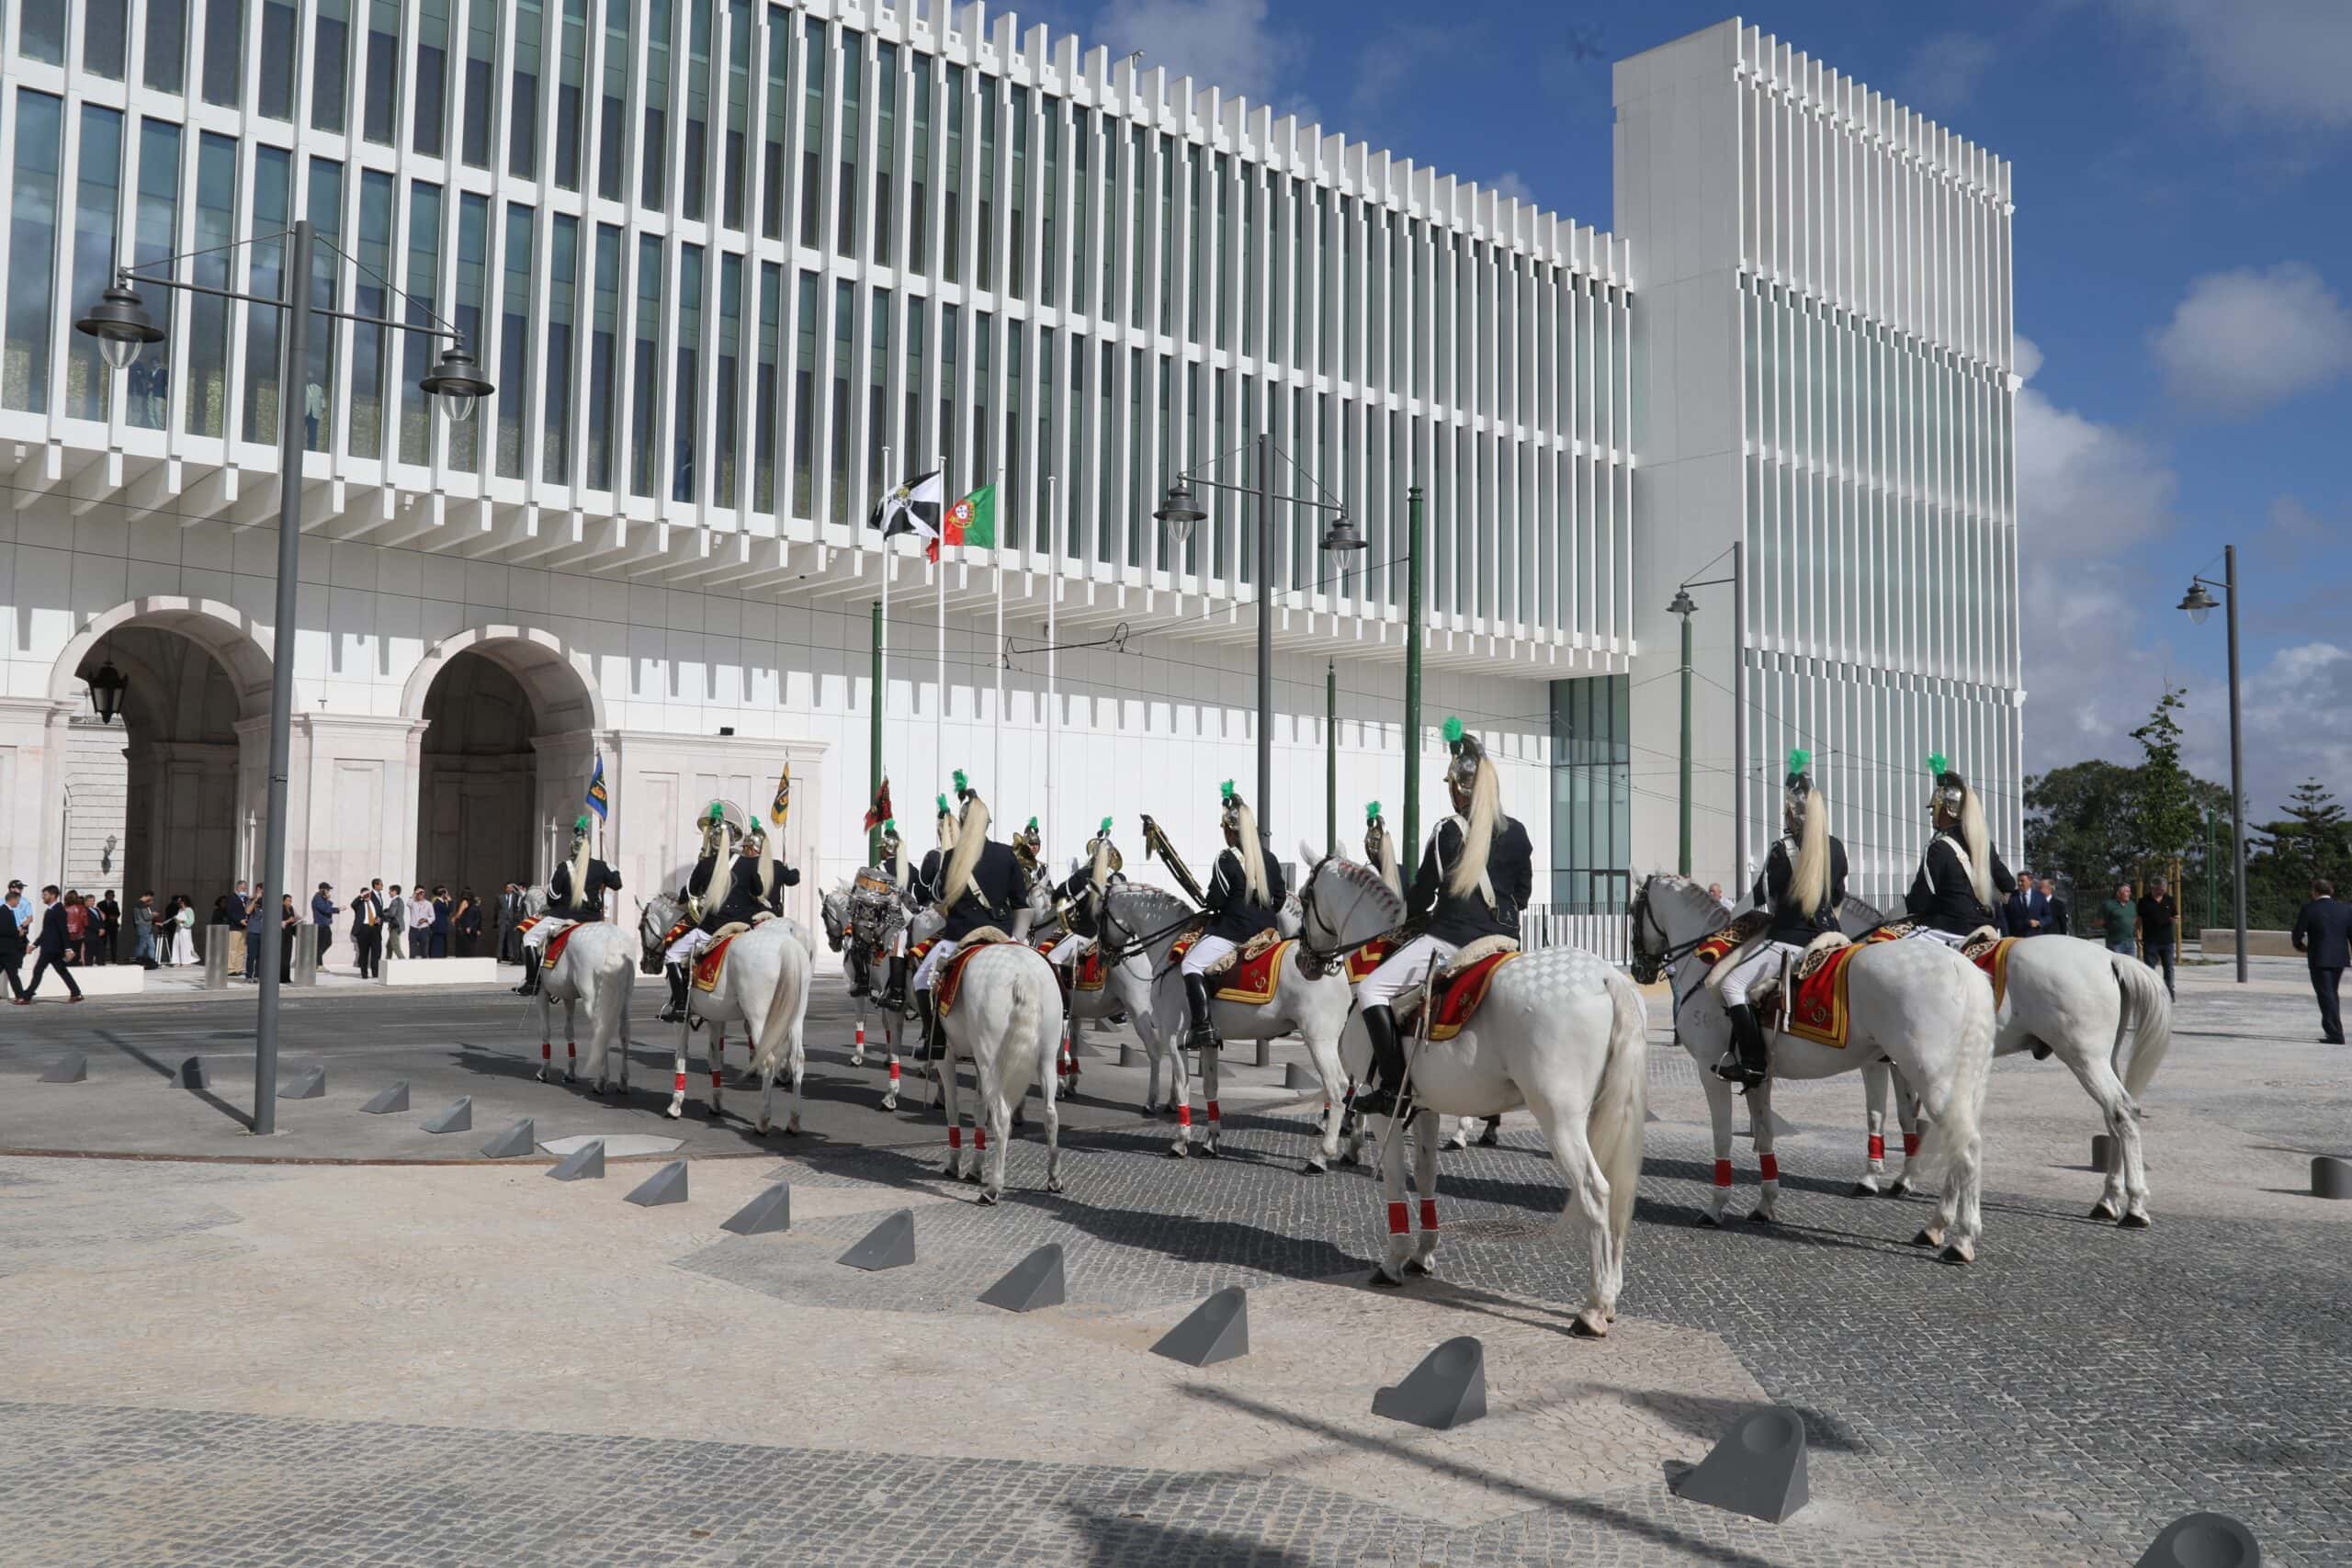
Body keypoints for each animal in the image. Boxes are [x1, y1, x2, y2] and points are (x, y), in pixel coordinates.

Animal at [513, 888, 630, 1100]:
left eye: (522, 904)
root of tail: (613, 941)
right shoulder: (568, 997)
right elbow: (569, 1031)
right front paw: (570, 1072)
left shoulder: (542, 994)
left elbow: (546, 1031)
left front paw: (543, 1072)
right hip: (624, 999)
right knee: (623, 1033)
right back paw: (623, 1083)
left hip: (593, 998)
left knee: (601, 1030)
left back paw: (600, 1082)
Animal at [639, 888, 813, 1133]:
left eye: (640, 927)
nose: (646, 964)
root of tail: (786, 944)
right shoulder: (715, 1018)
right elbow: (715, 1059)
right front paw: (716, 1104)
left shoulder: (681, 1021)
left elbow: (680, 1057)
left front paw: (675, 1105)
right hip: (795, 1017)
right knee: (797, 1059)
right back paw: (794, 1121)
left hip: (760, 1018)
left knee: (768, 1061)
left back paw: (762, 1120)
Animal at [1105, 860, 1392, 1175]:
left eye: (1096, 913)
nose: (1104, 953)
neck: (1172, 949)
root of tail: (1335, 965)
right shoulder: (1207, 1040)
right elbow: (1210, 1087)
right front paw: (1211, 1143)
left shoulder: (1173, 1039)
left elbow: (1182, 1088)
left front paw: (1180, 1142)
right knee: (1358, 1085)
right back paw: (1352, 1148)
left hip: (1320, 1039)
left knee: (1338, 1087)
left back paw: (1320, 1157)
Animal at [1636, 879, 2004, 1269]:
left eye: (1632, 909)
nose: (1639, 968)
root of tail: (1967, 971)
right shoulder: (1760, 1076)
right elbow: (1765, 1134)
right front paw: (1765, 1204)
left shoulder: (1711, 1073)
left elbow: (1722, 1139)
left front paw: (1715, 1207)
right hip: (1956, 1082)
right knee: (1960, 1142)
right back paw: (1936, 1228)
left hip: (1931, 1077)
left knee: (1965, 1145)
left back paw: (1961, 1240)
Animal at [1834, 893, 2164, 1222]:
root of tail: (2110, 958)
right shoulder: (1905, 1062)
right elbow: (1907, 1116)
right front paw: (1905, 1179)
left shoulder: (1882, 1061)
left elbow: (1880, 1115)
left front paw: (1873, 1179)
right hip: (2104, 1059)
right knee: (2114, 1118)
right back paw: (2109, 1200)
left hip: (2085, 1058)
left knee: (2122, 1110)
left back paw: (2135, 1206)